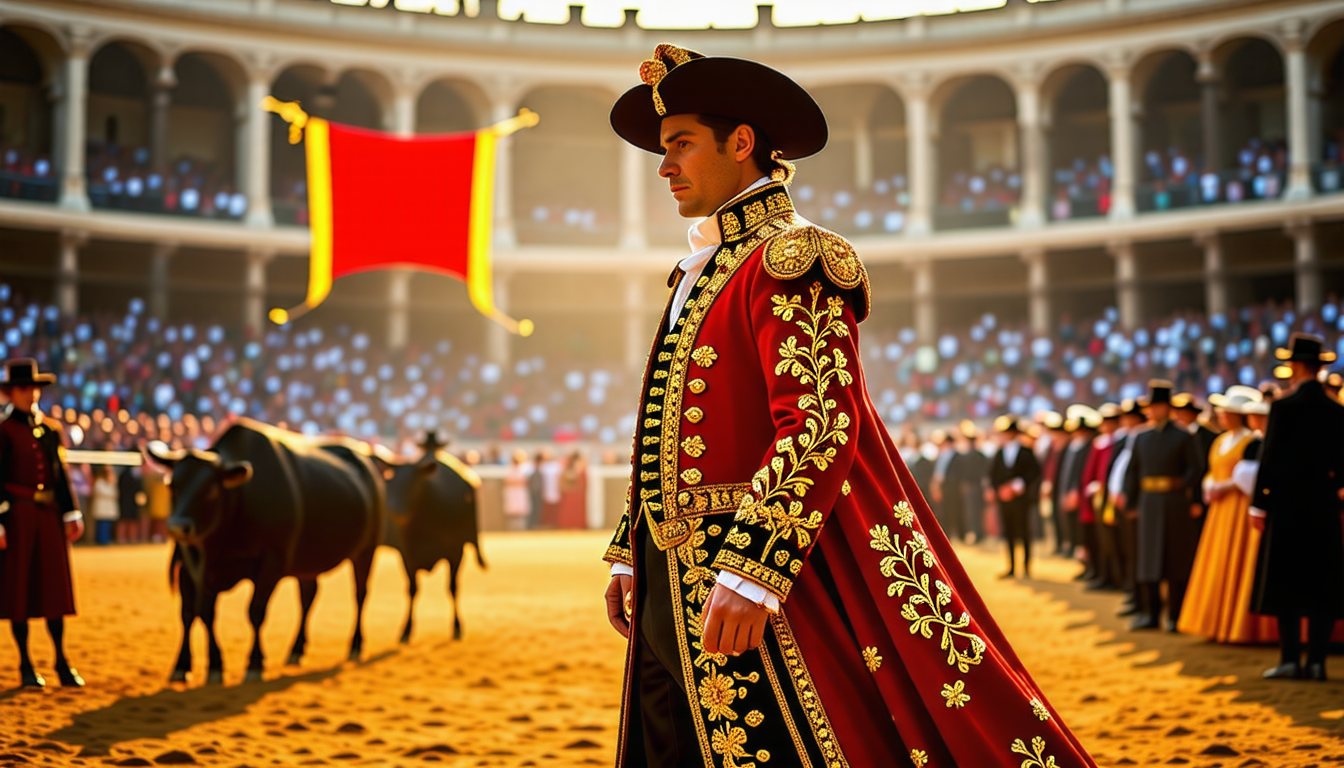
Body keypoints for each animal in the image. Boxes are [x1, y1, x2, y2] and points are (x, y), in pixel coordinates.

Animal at [155, 419, 384, 685]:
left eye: (211, 489)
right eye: (172, 484)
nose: (177, 527)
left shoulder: (272, 562)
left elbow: (255, 611)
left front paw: (254, 663)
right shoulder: (190, 566)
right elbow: (195, 613)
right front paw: (195, 665)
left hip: (366, 551)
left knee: (360, 594)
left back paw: (355, 645)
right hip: (307, 564)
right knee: (308, 598)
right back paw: (296, 650)